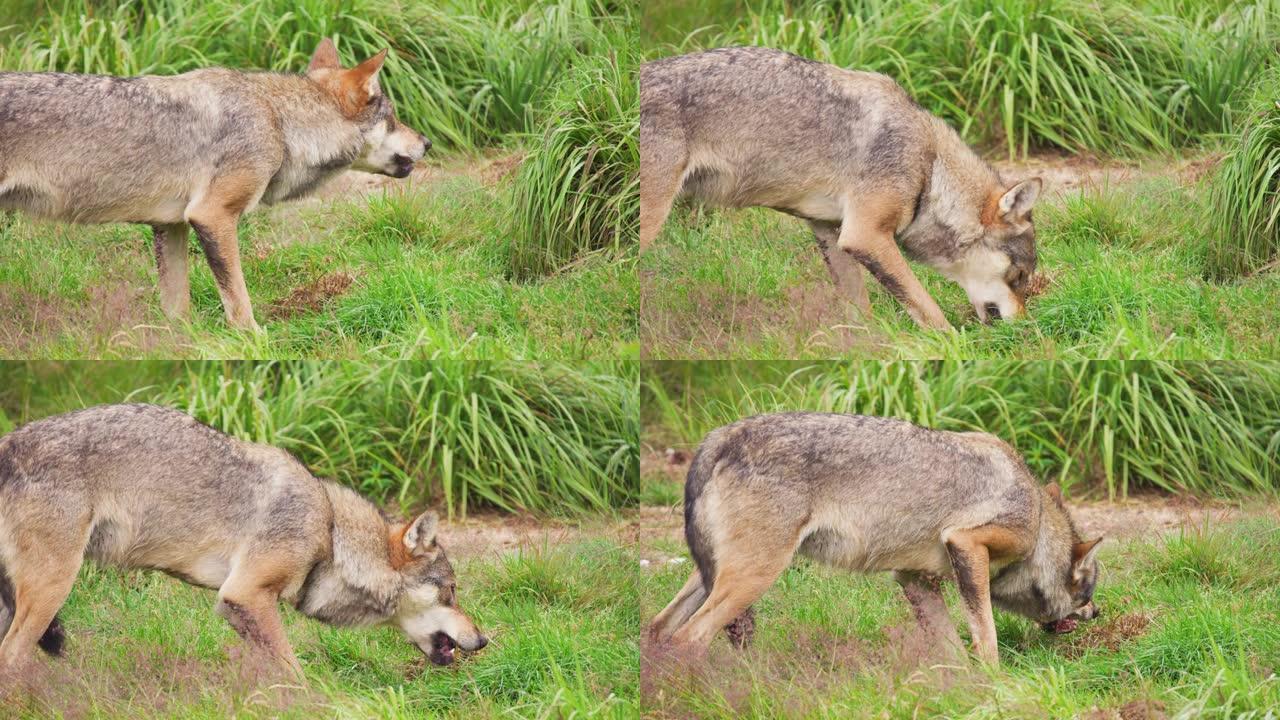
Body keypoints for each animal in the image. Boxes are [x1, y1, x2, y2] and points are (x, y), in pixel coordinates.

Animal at [0, 37, 430, 330]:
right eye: (393, 118)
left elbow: (178, 311)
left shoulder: (170, 225)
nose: (426, 142)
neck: (278, 120)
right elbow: (239, 303)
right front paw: (254, 342)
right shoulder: (212, 216)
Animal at [0, 404, 486, 671]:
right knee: (12, 658)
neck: (329, 533)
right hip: (51, 591)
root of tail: (7, 445)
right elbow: (296, 671)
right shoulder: (245, 595)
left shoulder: (244, 609)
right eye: (451, 592)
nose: (484, 641)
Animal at [640, 49, 1039, 330]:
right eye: (1018, 276)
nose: (1025, 328)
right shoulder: (866, 236)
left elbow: (861, 311)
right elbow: (930, 311)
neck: (929, 168)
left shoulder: (832, 233)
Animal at [650, 412, 1100, 666]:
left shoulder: (913, 579)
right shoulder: (966, 545)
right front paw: (994, 685)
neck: (1037, 521)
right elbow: (985, 638)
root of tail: (720, 437)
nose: (1098, 613)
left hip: (713, 576)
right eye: (1088, 592)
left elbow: (951, 647)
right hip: (755, 578)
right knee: (688, 639)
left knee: (658, 629)